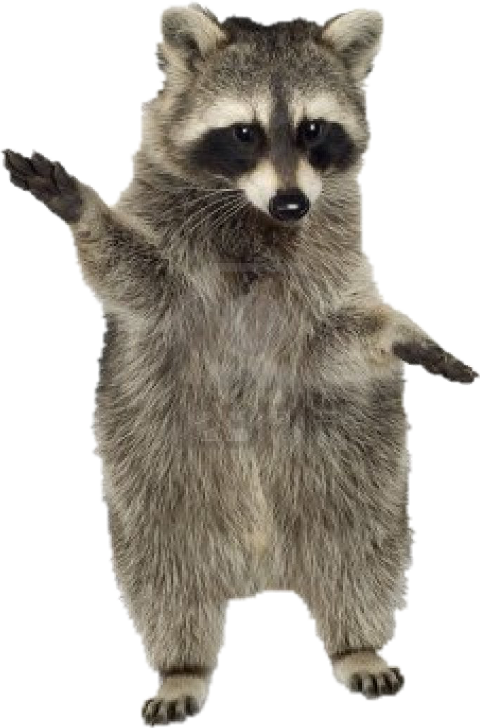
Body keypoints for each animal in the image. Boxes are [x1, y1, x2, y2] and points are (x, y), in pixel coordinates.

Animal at [2, 4, 478, 724]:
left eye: (313, 130)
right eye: (244, 133)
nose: (291, 204)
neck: (253, 214)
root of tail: (265, 565)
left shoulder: (320, 278)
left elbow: (335, 336)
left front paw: (401, 332)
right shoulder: (172, 275)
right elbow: (131, 277)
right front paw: (82, 208)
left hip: (352, 460)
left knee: (360, 548)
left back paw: (358, 643)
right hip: (159, 469)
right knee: (167, 570)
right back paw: (182, 664)